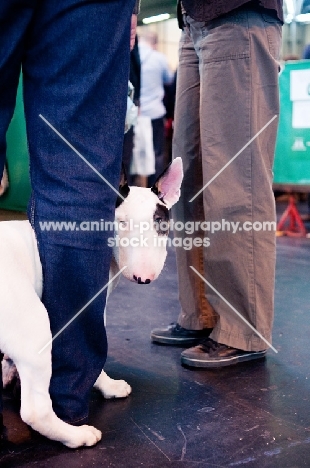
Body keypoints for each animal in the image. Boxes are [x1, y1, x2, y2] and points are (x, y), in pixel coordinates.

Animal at [0, 158, 183, 450]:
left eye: (161, 224)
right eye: (121, 222)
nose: (144, 277)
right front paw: (109, 386)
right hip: (33, 325)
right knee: (35, 410)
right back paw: (77, 435)